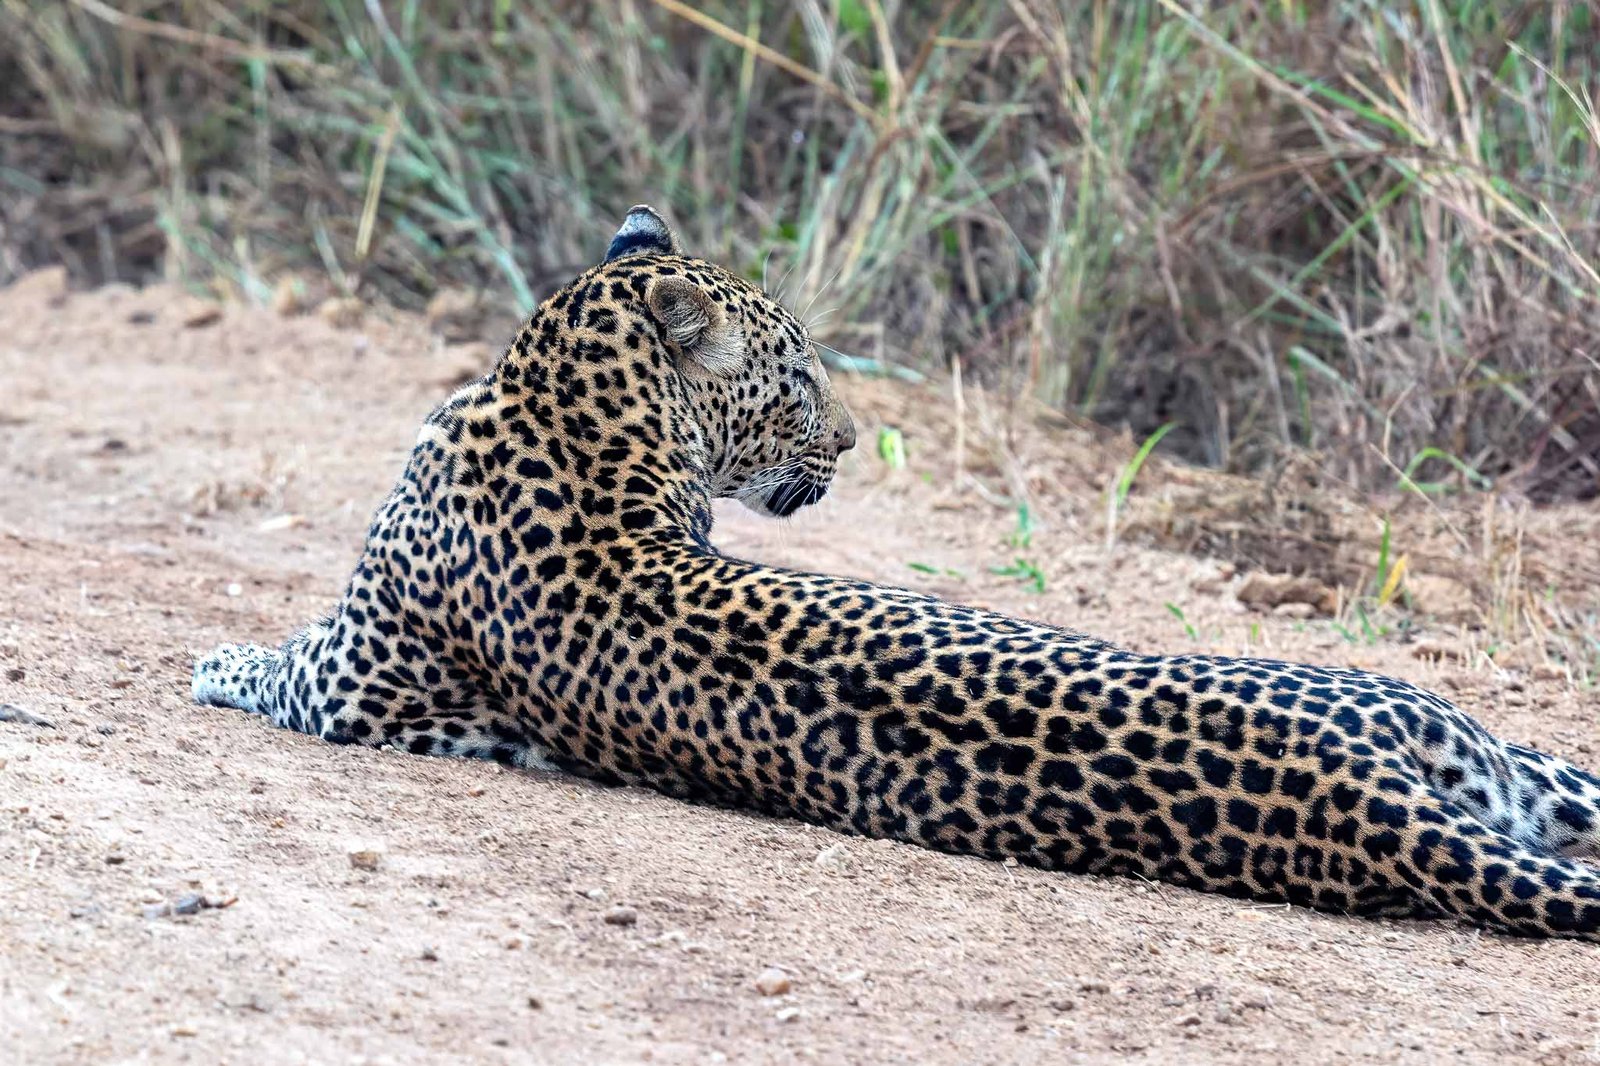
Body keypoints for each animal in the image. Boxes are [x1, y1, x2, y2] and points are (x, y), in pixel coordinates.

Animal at [194, 205, 1600, 941]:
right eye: (801, 375)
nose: (853, 438)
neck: (571, 407)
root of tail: (1374, 788)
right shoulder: (356, 677)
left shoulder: (348, 685)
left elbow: (258, 663)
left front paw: (209, 658)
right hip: (1506, 764)